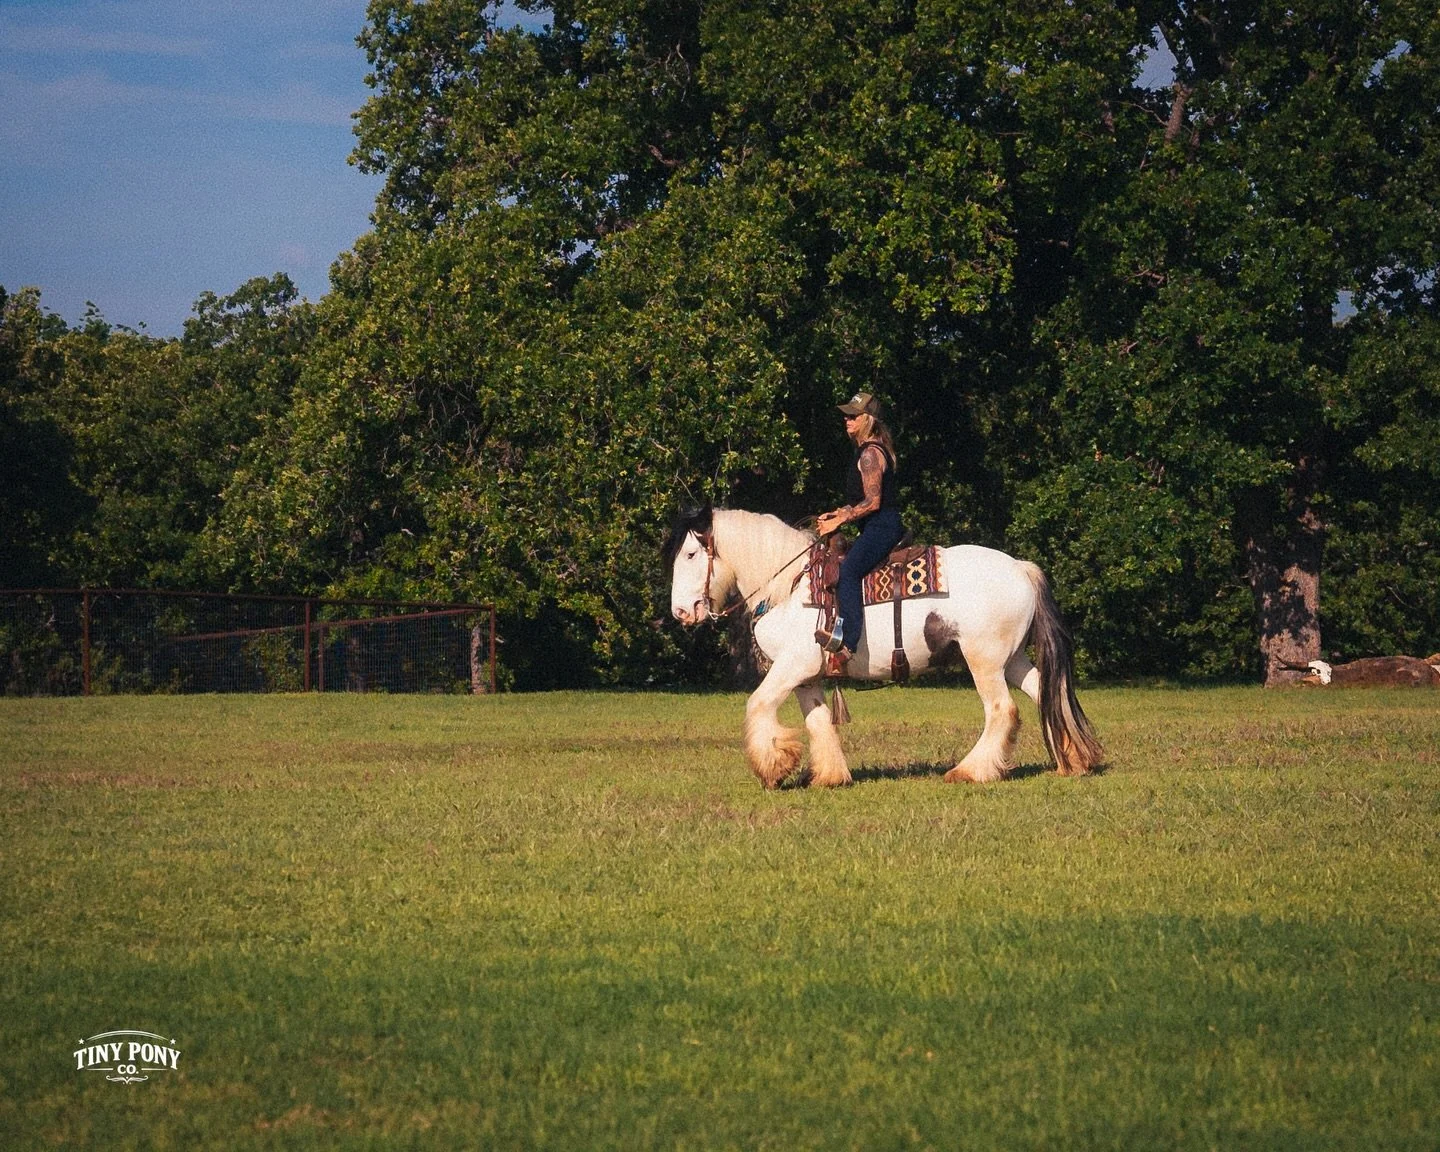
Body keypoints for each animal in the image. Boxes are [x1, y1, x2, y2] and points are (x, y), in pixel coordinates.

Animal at [664, 505, 1104, 789]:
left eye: (691, 554)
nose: (681, 612)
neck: (788, 586)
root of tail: (1020, 568)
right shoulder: (807, 676)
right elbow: (819, 722)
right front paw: (828, 776)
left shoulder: (791, 666)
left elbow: (757, 704)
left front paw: (773, 767)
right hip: (1012, 659)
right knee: (1048, 693)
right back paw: (1075, 761)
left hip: (985, 660)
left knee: (1002, 710)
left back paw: (970, 771)